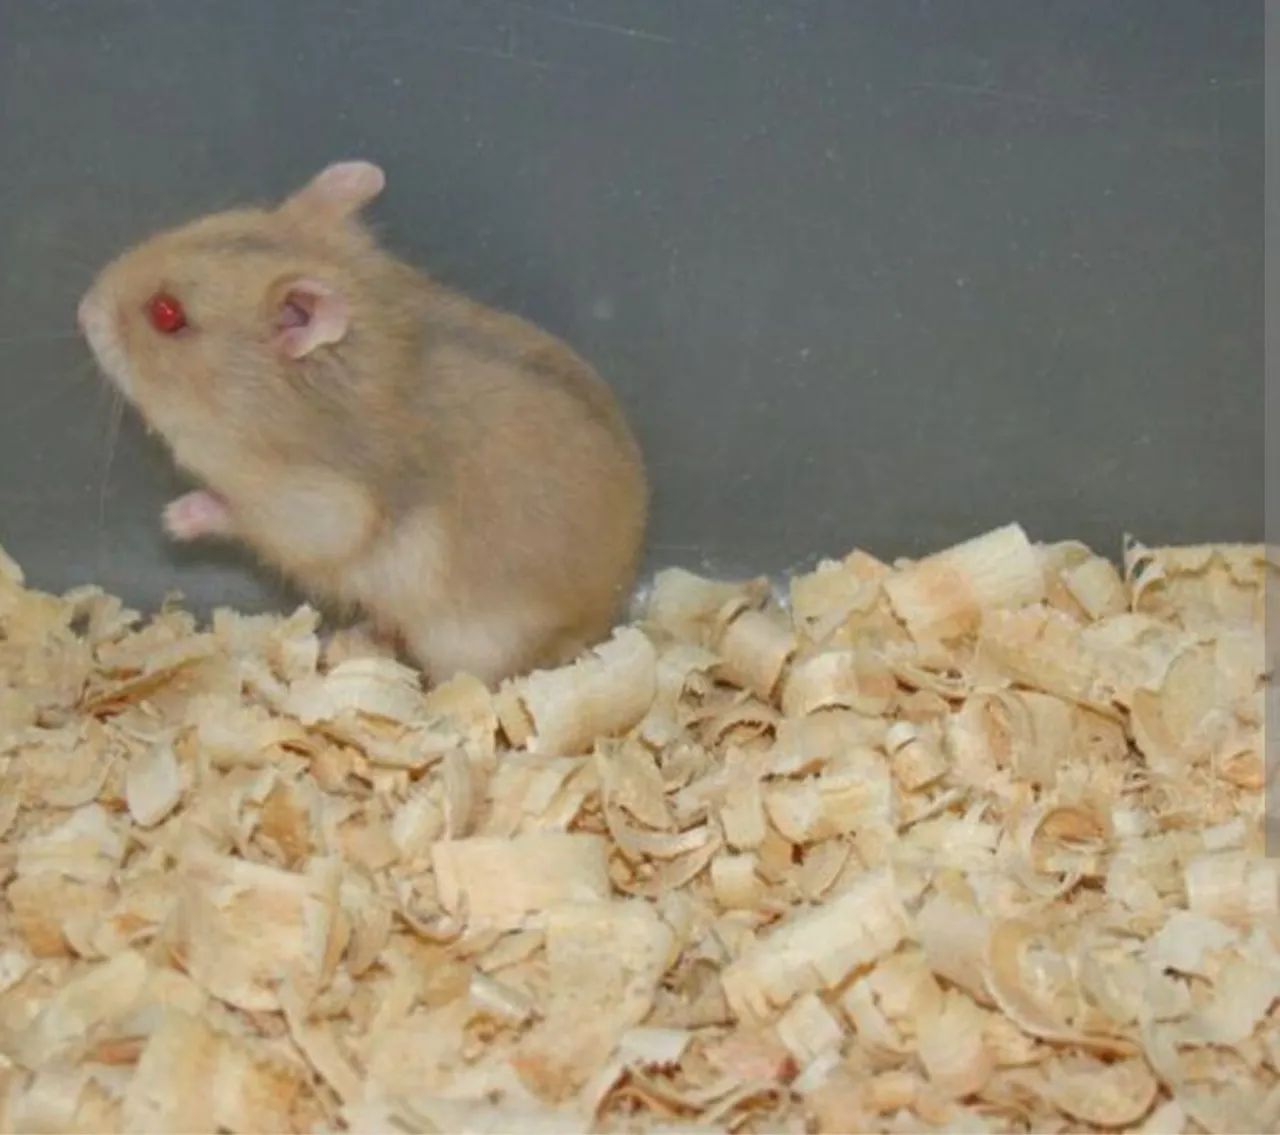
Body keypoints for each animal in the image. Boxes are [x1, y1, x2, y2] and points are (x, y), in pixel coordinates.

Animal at [78, 161, 648, 686]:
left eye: (167, 314)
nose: (83, 308)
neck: (252, 401)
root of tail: (604, 616)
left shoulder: (316, 511)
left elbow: (236, 514)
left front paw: (174, 518)